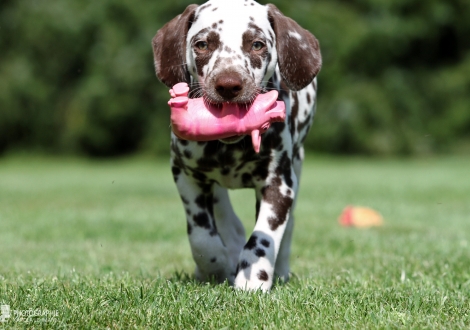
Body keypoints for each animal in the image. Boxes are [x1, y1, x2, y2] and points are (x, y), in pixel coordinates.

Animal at [152, 0, 322, 292]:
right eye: (202, 44)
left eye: (257, 44)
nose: (228, 85)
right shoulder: (185, 176)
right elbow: (201, 236)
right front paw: (215, 266)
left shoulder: (279, 185)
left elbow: (264, 237)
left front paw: (254, 278)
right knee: (225, 217)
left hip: (297, 169)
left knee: (287, 229)